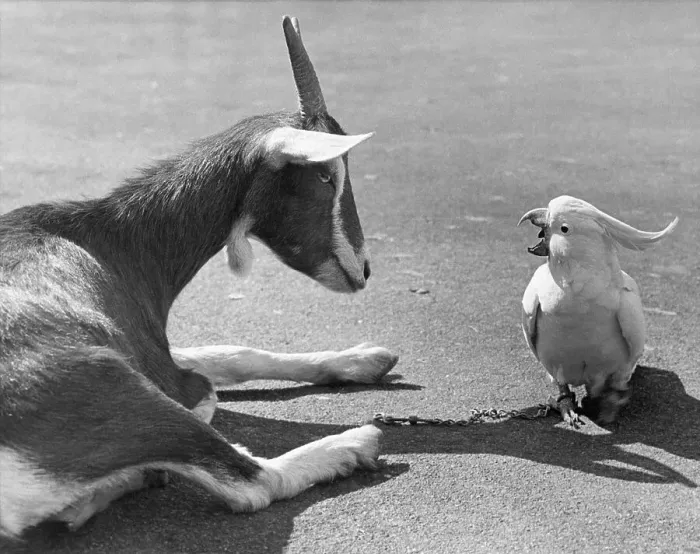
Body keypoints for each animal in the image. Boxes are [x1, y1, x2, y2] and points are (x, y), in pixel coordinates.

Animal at [0, 16, 398, 538]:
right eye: (326, 176)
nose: (362, 268)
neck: (111, 239)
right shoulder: (164, 375)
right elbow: (210, 384)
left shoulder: (154, 352)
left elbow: (233, 352)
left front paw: (364, 357)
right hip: (123, 391)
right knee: (252, 482)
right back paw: (356, 444)